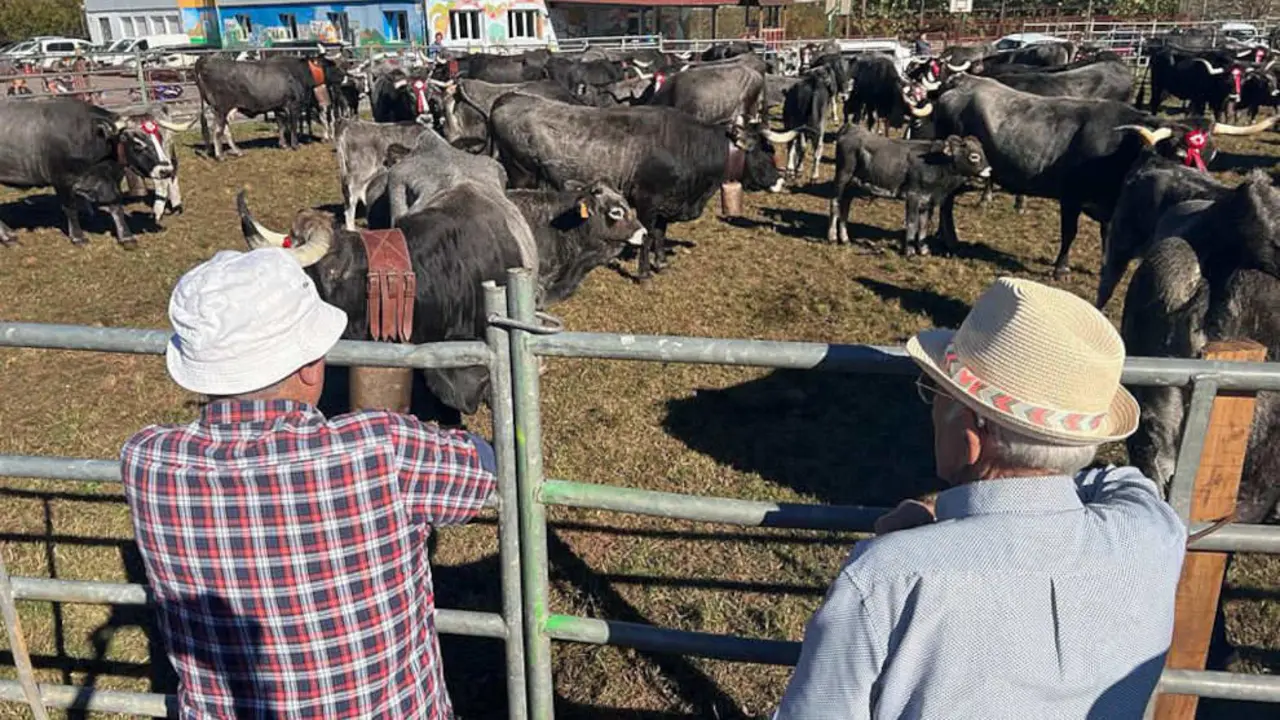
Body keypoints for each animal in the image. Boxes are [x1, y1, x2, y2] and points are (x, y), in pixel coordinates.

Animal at [0, 98, 185, 244]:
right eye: (137, 143)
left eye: (160, 137)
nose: (165, 170)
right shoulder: (62, 181)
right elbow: (70, 208)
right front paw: (78, 237)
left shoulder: (108, 179)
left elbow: (115, 205)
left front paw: (125, 236)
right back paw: (8, 236)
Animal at [488, 92, 788, 278]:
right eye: (765, 150)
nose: (780, 181)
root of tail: (510, 96)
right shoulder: (646, 200)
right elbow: (647, 235)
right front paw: (644, 273)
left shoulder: (667, 201)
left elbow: (660, 233)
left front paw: (661, 263)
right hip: (522, 172)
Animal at [824, 126, 993, 254]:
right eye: (974, 156)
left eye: (983, 151)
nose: (989, 170)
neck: (936, 162)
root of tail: (850, 129)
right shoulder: (913, 196)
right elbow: (912, 222)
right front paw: (910, 251)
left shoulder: (926, 200)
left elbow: (923, 225)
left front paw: (924, 250)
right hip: (842, 177)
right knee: (835, 203)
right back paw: (832, 237)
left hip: (851, 185)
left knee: (845, 206)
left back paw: (845, 238)